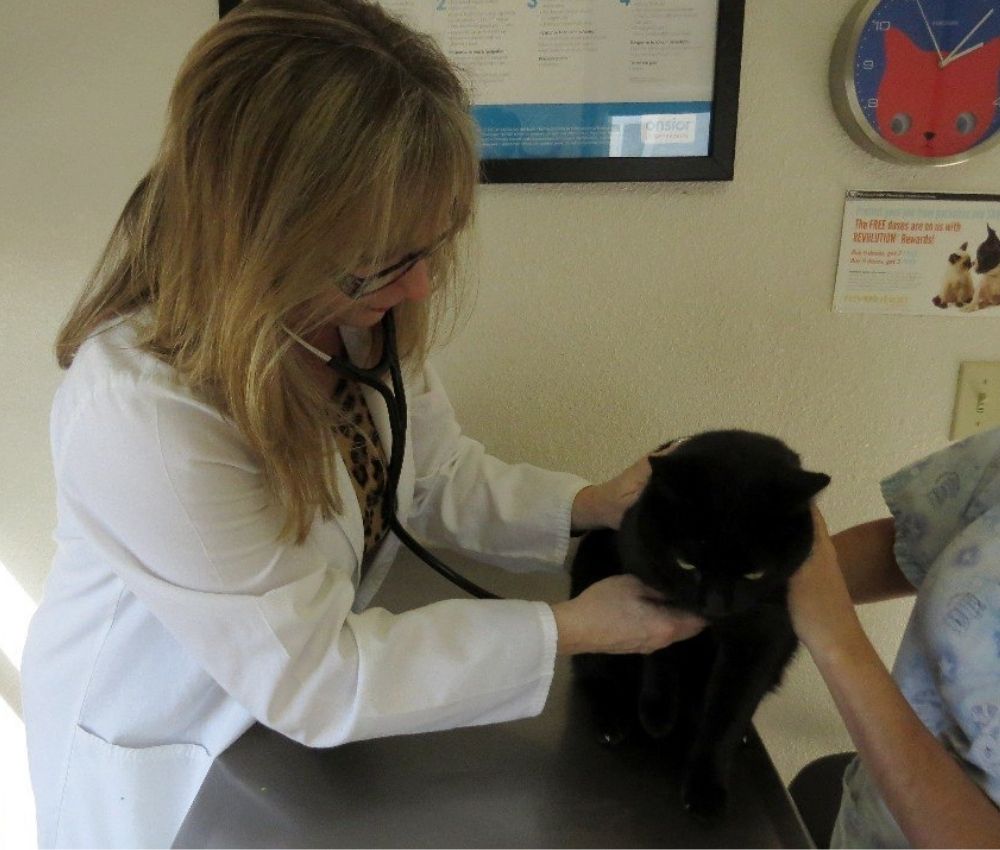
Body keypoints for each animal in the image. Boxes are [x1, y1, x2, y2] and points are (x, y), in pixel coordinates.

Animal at [572, 428, 828, 820]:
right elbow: (660, 649)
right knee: (592, 671)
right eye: (687, 563)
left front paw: (706, 787)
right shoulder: (648, 577)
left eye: (754, 573)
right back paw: (613, 718)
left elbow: (728, 713)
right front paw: (658, 712)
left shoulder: (764, 633)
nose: (715, 605)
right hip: (591, 564)